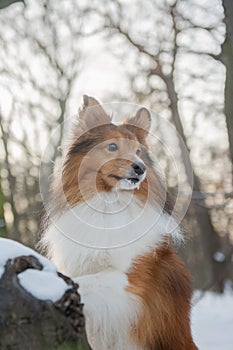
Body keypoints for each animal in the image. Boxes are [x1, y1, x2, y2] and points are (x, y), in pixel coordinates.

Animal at [41, 95, 198, 350]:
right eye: (112, 147)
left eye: (138, 151)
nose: (140, 168)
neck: (108, 204)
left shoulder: (129, 281)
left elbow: (84, 281)